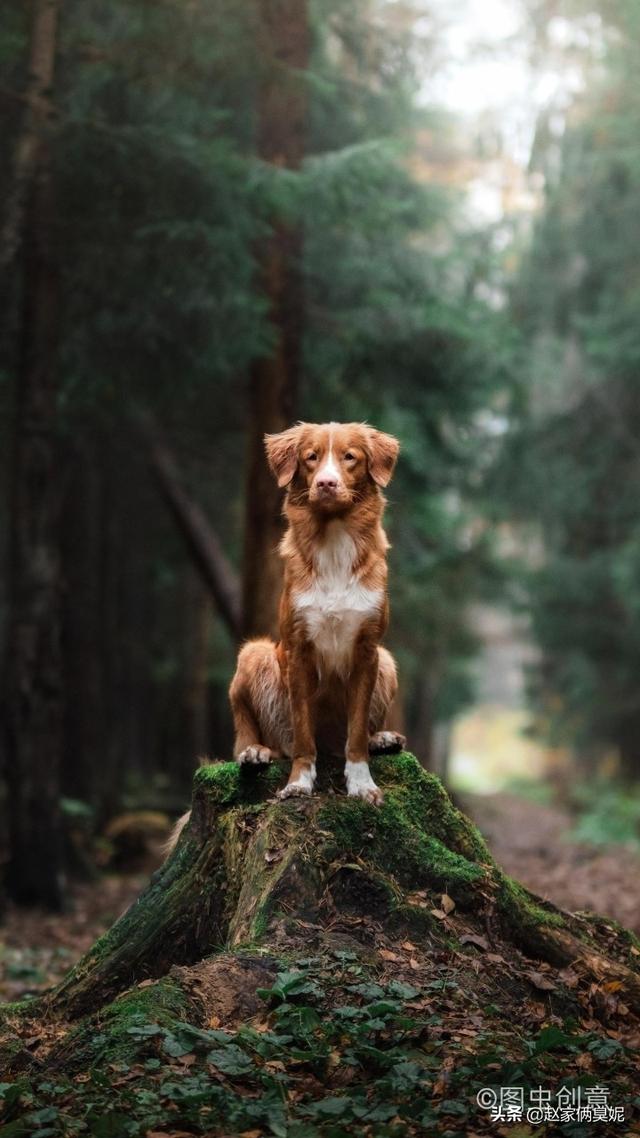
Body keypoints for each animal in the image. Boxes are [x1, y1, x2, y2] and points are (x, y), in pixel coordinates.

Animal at [226, 423, 400, 805]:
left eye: (349, 457)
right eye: (311, 457)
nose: (326, 483)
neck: (333, 539)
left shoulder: (368, 648)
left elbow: (357, 733)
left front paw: (362, 783)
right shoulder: (299, 649)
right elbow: (304, 735)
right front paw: (299, 783)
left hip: (388, 660)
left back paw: (382, 738)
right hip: (254, 653)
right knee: (263, 738)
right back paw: (255, 752)